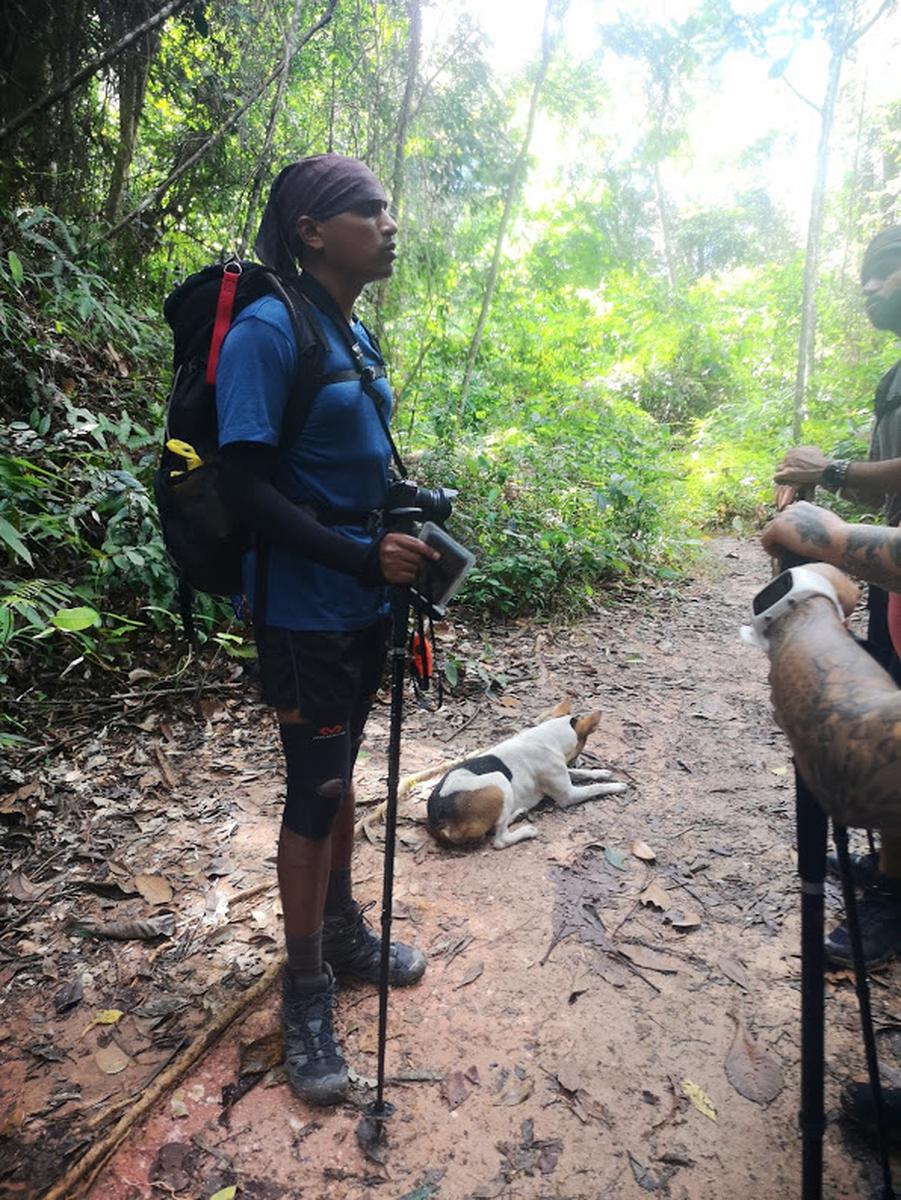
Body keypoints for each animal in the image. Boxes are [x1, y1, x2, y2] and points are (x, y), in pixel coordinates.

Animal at [427, 700, 628, 849]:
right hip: (499, 782)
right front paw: (616, 786)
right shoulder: (568, 796)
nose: (577, 760)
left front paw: (601, 772)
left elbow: (582, 773)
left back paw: (517, 813)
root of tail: (438, 819)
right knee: (499, 840)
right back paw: (525, 831)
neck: (547, 737)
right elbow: (595, 788)